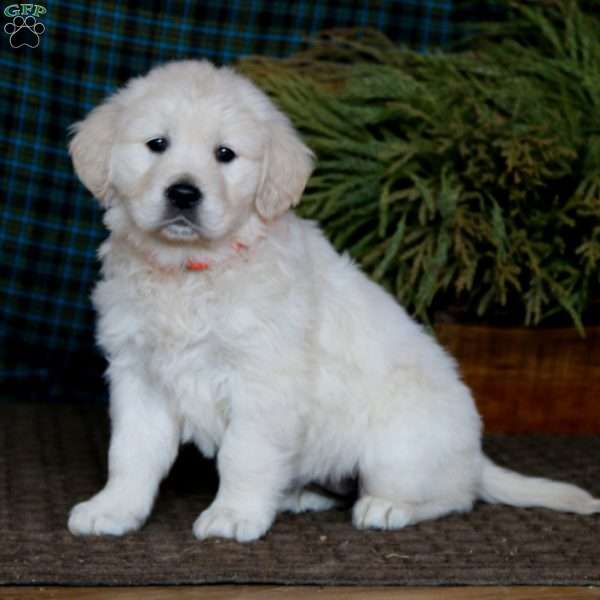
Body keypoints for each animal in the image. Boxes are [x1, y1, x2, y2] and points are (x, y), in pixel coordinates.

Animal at [67, 61, 600, 544]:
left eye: (225, 154)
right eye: (157, 144)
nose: (183, 193)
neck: (191, 271)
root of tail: (474, 457)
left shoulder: (264, 381)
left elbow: (244, 454)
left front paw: (234, 515)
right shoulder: (138, 374)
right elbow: (130, 452)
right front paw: (113, 509)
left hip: (399, 445)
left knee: (454, 496)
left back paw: (387, 507)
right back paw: (301, 495)